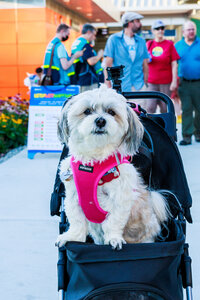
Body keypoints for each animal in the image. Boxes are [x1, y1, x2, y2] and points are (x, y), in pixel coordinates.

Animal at [55, 85, 170, 250]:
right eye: (87, 111)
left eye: (111, 112)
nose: (100, 120)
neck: (94, 161)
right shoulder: (73, 196)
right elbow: (76, 221)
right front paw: (72, 237)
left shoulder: (120, 198)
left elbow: (113, 222)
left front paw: (114, 238)